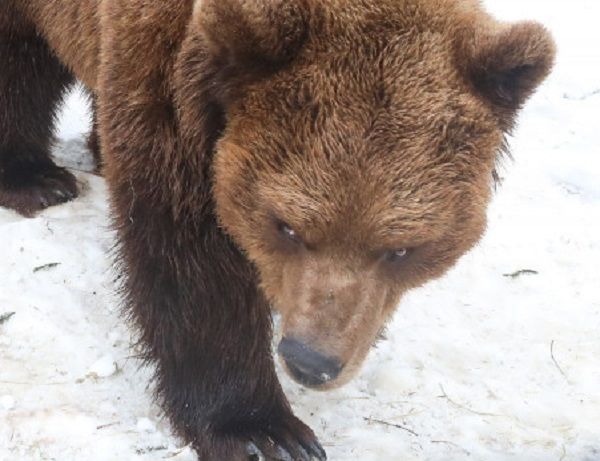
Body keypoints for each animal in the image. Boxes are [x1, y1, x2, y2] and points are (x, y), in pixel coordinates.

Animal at [0, 0, 556, 458]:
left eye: (403, 248)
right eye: (285, 225)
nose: (310, 361)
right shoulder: (174, 85)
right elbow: (192, 261)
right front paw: (264, 432)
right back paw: (36, 179)